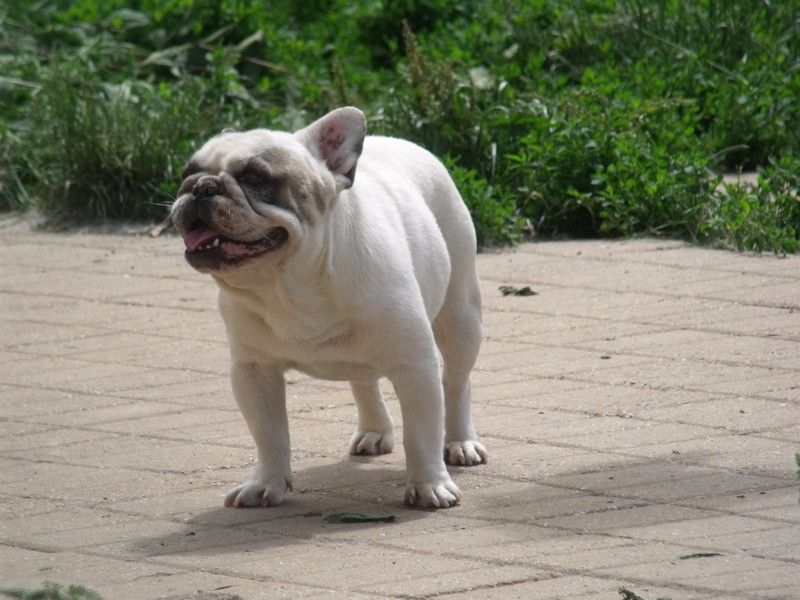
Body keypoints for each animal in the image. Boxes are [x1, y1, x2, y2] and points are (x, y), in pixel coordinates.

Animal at [170, 107, 487, 508]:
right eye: (186, 172)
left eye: (254, 177)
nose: (200, 187)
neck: (290, 286)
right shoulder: (254, 371)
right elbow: (269, 435)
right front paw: (266, 483)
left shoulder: (415, 366)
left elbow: (422, 432)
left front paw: (430, 485)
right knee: (363, 379)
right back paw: (374, 430)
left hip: (461, 316)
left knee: (457, 382)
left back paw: (461, 442)